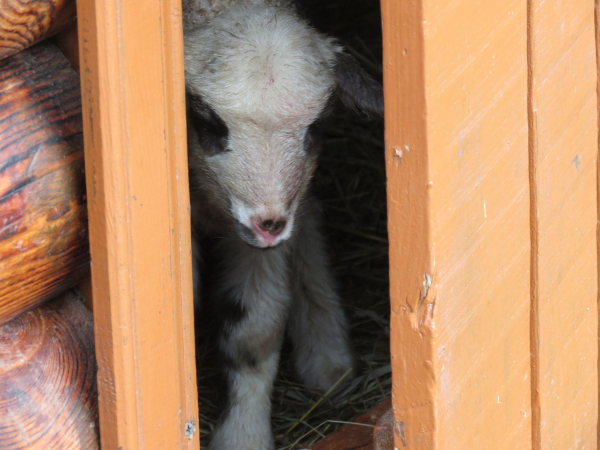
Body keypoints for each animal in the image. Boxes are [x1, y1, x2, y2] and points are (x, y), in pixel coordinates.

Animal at [182, 1, 384, 448]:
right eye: (207, 124)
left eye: (316, 127)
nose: (268, 225)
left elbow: (255, 331)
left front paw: (244, 434)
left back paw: (327, 353)